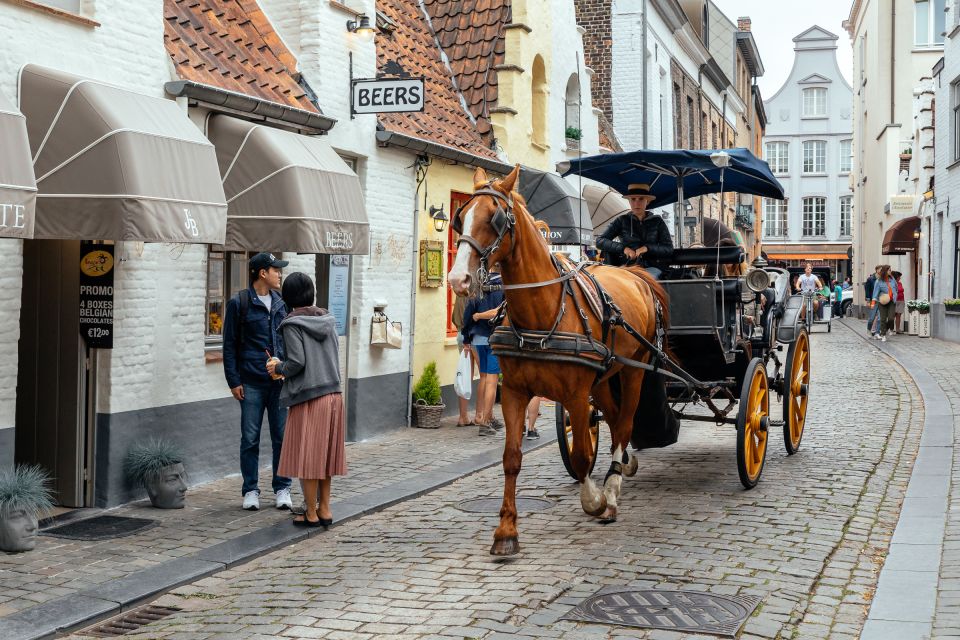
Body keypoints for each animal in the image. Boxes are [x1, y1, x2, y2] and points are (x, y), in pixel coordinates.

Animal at [448, 165, 668, 556]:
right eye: (461, 218)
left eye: (496, 218)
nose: (458, 279)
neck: (541, 312)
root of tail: (635, 272)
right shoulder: (515, 392)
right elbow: (511, 458)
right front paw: (506, 532)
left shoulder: (576, 396)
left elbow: (580, 456)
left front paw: (594, 500)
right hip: (604, 377)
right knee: (614, 420)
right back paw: (622, 467)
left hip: (632, 370)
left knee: (625, 423)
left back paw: (613, 491)